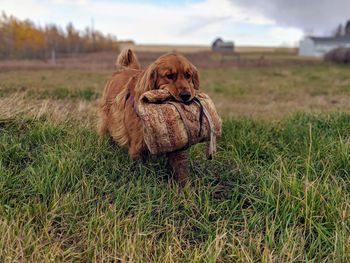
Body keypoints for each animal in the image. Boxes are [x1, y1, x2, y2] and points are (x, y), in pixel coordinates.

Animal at [98, 49, 200, 186]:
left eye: (188, 75)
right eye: (169, 76)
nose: (186, 95)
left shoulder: (176, 143)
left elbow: (180, 168)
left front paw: (186, 188)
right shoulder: (137, 146)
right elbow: (139, 169)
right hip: (107, 121)